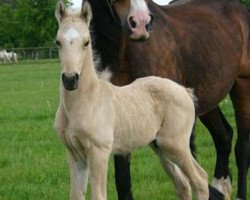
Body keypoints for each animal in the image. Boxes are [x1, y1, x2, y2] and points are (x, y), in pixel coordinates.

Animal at [54, 0, 209, 199]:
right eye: (58, 42)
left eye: (86, 42)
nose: (70, 80)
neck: (85, 100)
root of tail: (184, 90)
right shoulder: (75, 155)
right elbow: (76, 195)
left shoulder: (99, 152)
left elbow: (99, 195)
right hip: (160, 146)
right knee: (182, 183)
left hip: (176, 144)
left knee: (200, 179)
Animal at [88, 0, 250, 199]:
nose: (140, 22)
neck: (122, 53)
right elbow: (122, 178)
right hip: (207, 99)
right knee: (224, 137)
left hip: (242, 86)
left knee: (242, 148)